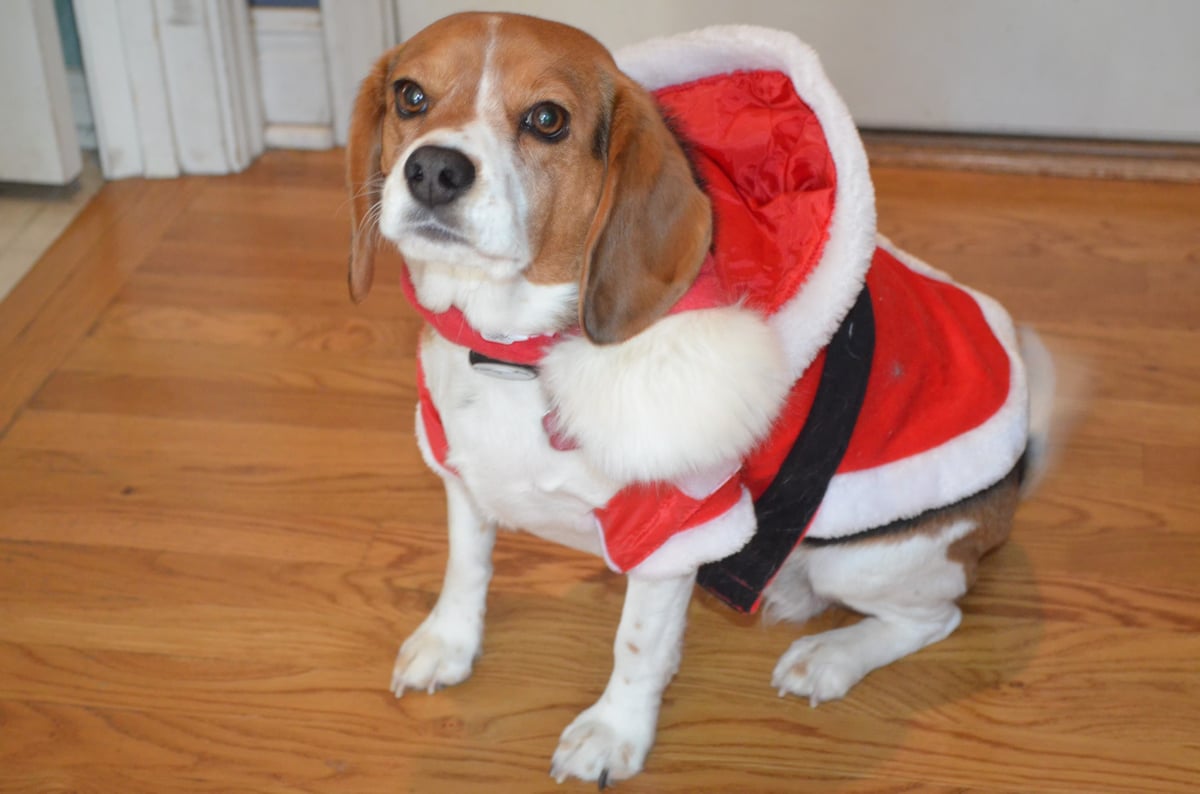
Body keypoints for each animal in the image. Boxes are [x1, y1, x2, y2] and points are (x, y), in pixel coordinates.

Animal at [343, 12, 1056, 791]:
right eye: (410, 96)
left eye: (547, 119)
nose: (434, 170)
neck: (509, 348)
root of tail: (1019, 463)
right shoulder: (464, 474)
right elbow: (465, 568)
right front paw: (448, 643)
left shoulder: (677, 523)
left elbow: (636, 645)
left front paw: (613, 732)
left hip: (868, 557)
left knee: (938, 616)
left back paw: (830, 656)